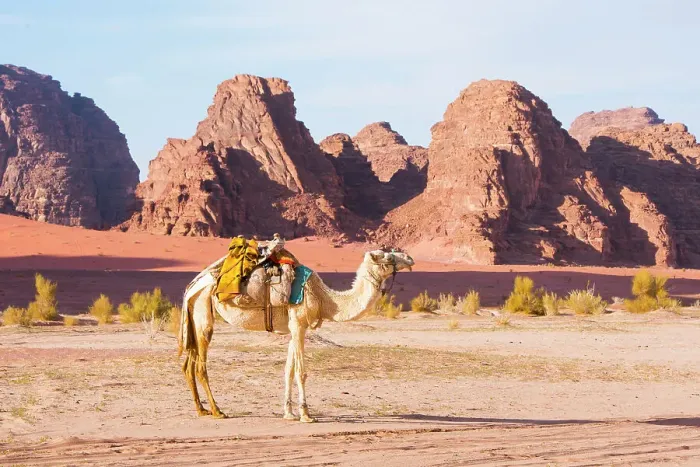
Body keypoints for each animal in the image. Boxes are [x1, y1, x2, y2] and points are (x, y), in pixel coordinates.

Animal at [178, 246, 414, 423]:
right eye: (386, 255)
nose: (410, 258)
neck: (324, 299)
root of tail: (193, 284)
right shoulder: (300, 323)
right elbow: (301, 372)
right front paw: (305, 414)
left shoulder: (293, 328)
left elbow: (288, 370)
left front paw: (288, 413)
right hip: (203, 307)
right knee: (200, 364)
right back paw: (217, 411)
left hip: (195, 313)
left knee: (189, 363)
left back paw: (201, 409)